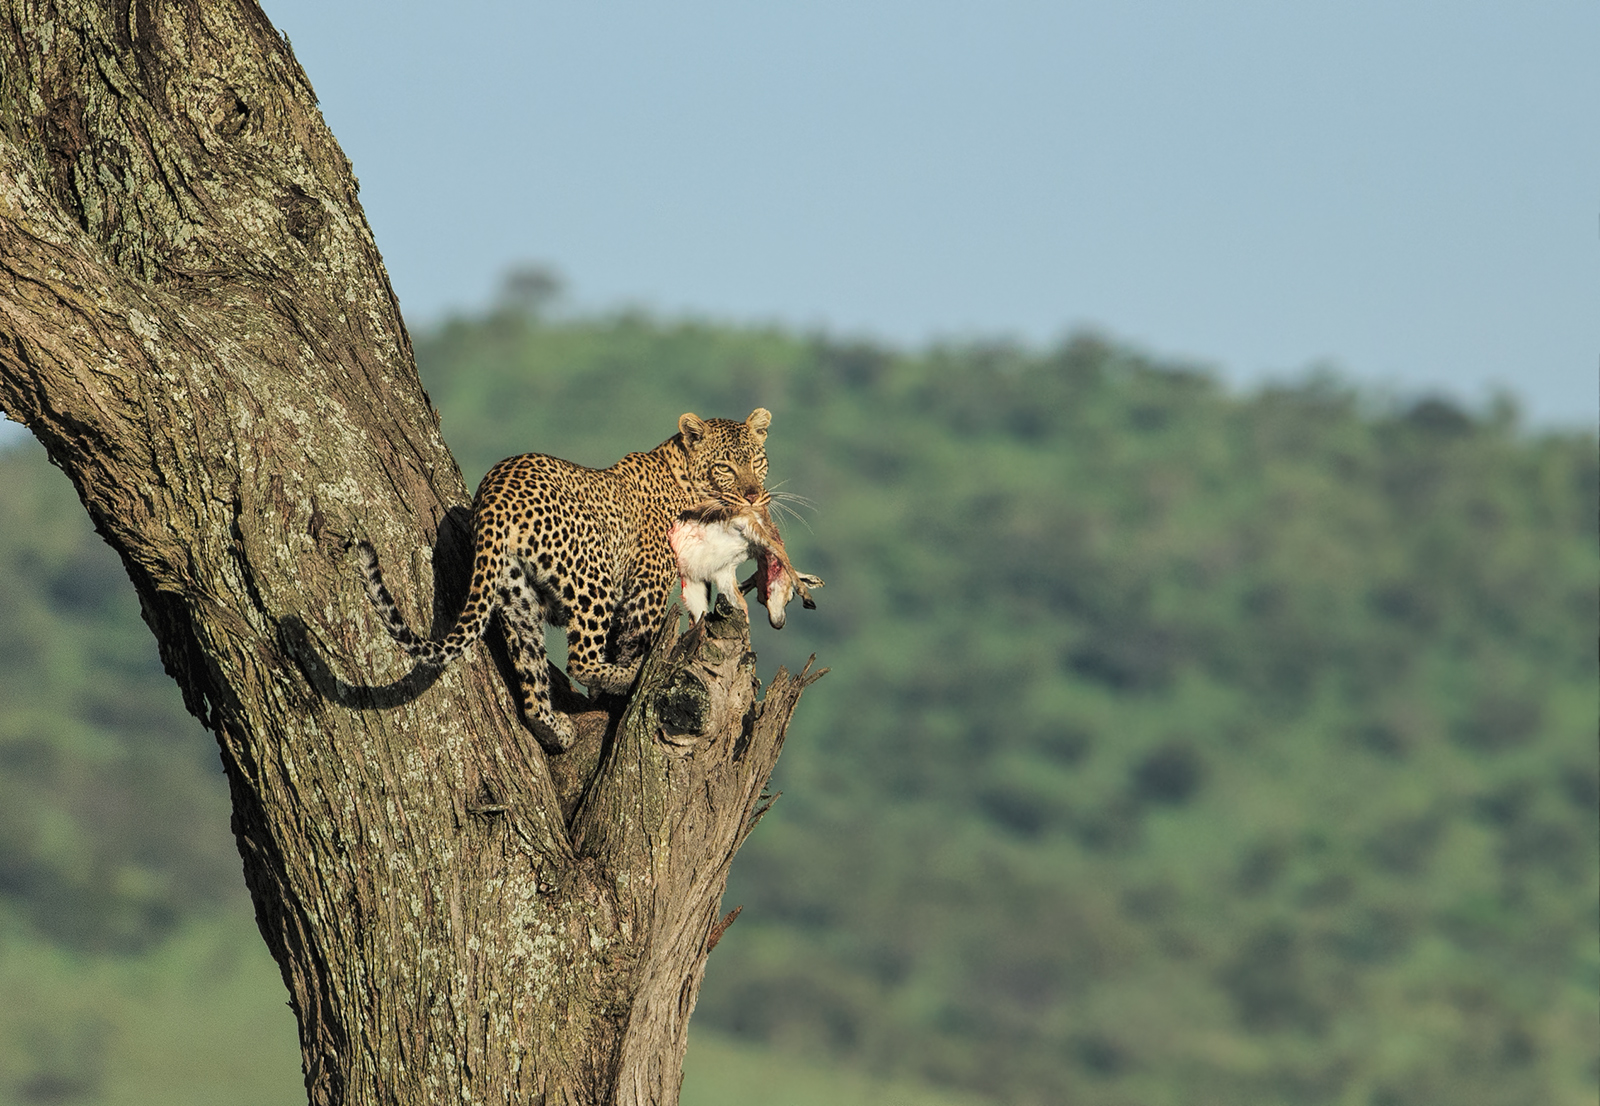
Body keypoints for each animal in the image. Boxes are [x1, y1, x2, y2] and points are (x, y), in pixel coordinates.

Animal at [356, 408, 773, 749]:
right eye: (725, 467)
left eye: (757, 461)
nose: (753, 496)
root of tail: (493, 495)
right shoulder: (649, 583)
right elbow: (637, 635)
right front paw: (626, 680)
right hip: (593, 577)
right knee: (581, 660)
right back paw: (627, 678)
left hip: (515, 598)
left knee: (531, 685)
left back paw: (556, 729)